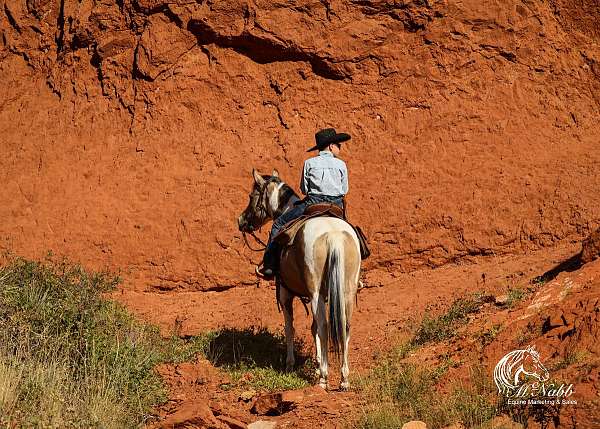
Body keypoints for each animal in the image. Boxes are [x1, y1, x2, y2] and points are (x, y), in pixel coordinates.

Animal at [239, 169, 360, 390]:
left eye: (252, 196)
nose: (241, 220)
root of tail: (333, 234)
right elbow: (313, 329)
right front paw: (317, 363)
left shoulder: (285, 293)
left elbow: (290, 328)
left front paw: (290, 364)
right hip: (346, 291)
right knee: (344, 325)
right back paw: (344, 378)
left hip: (315, 293)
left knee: (324, 326)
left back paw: (324, 378)